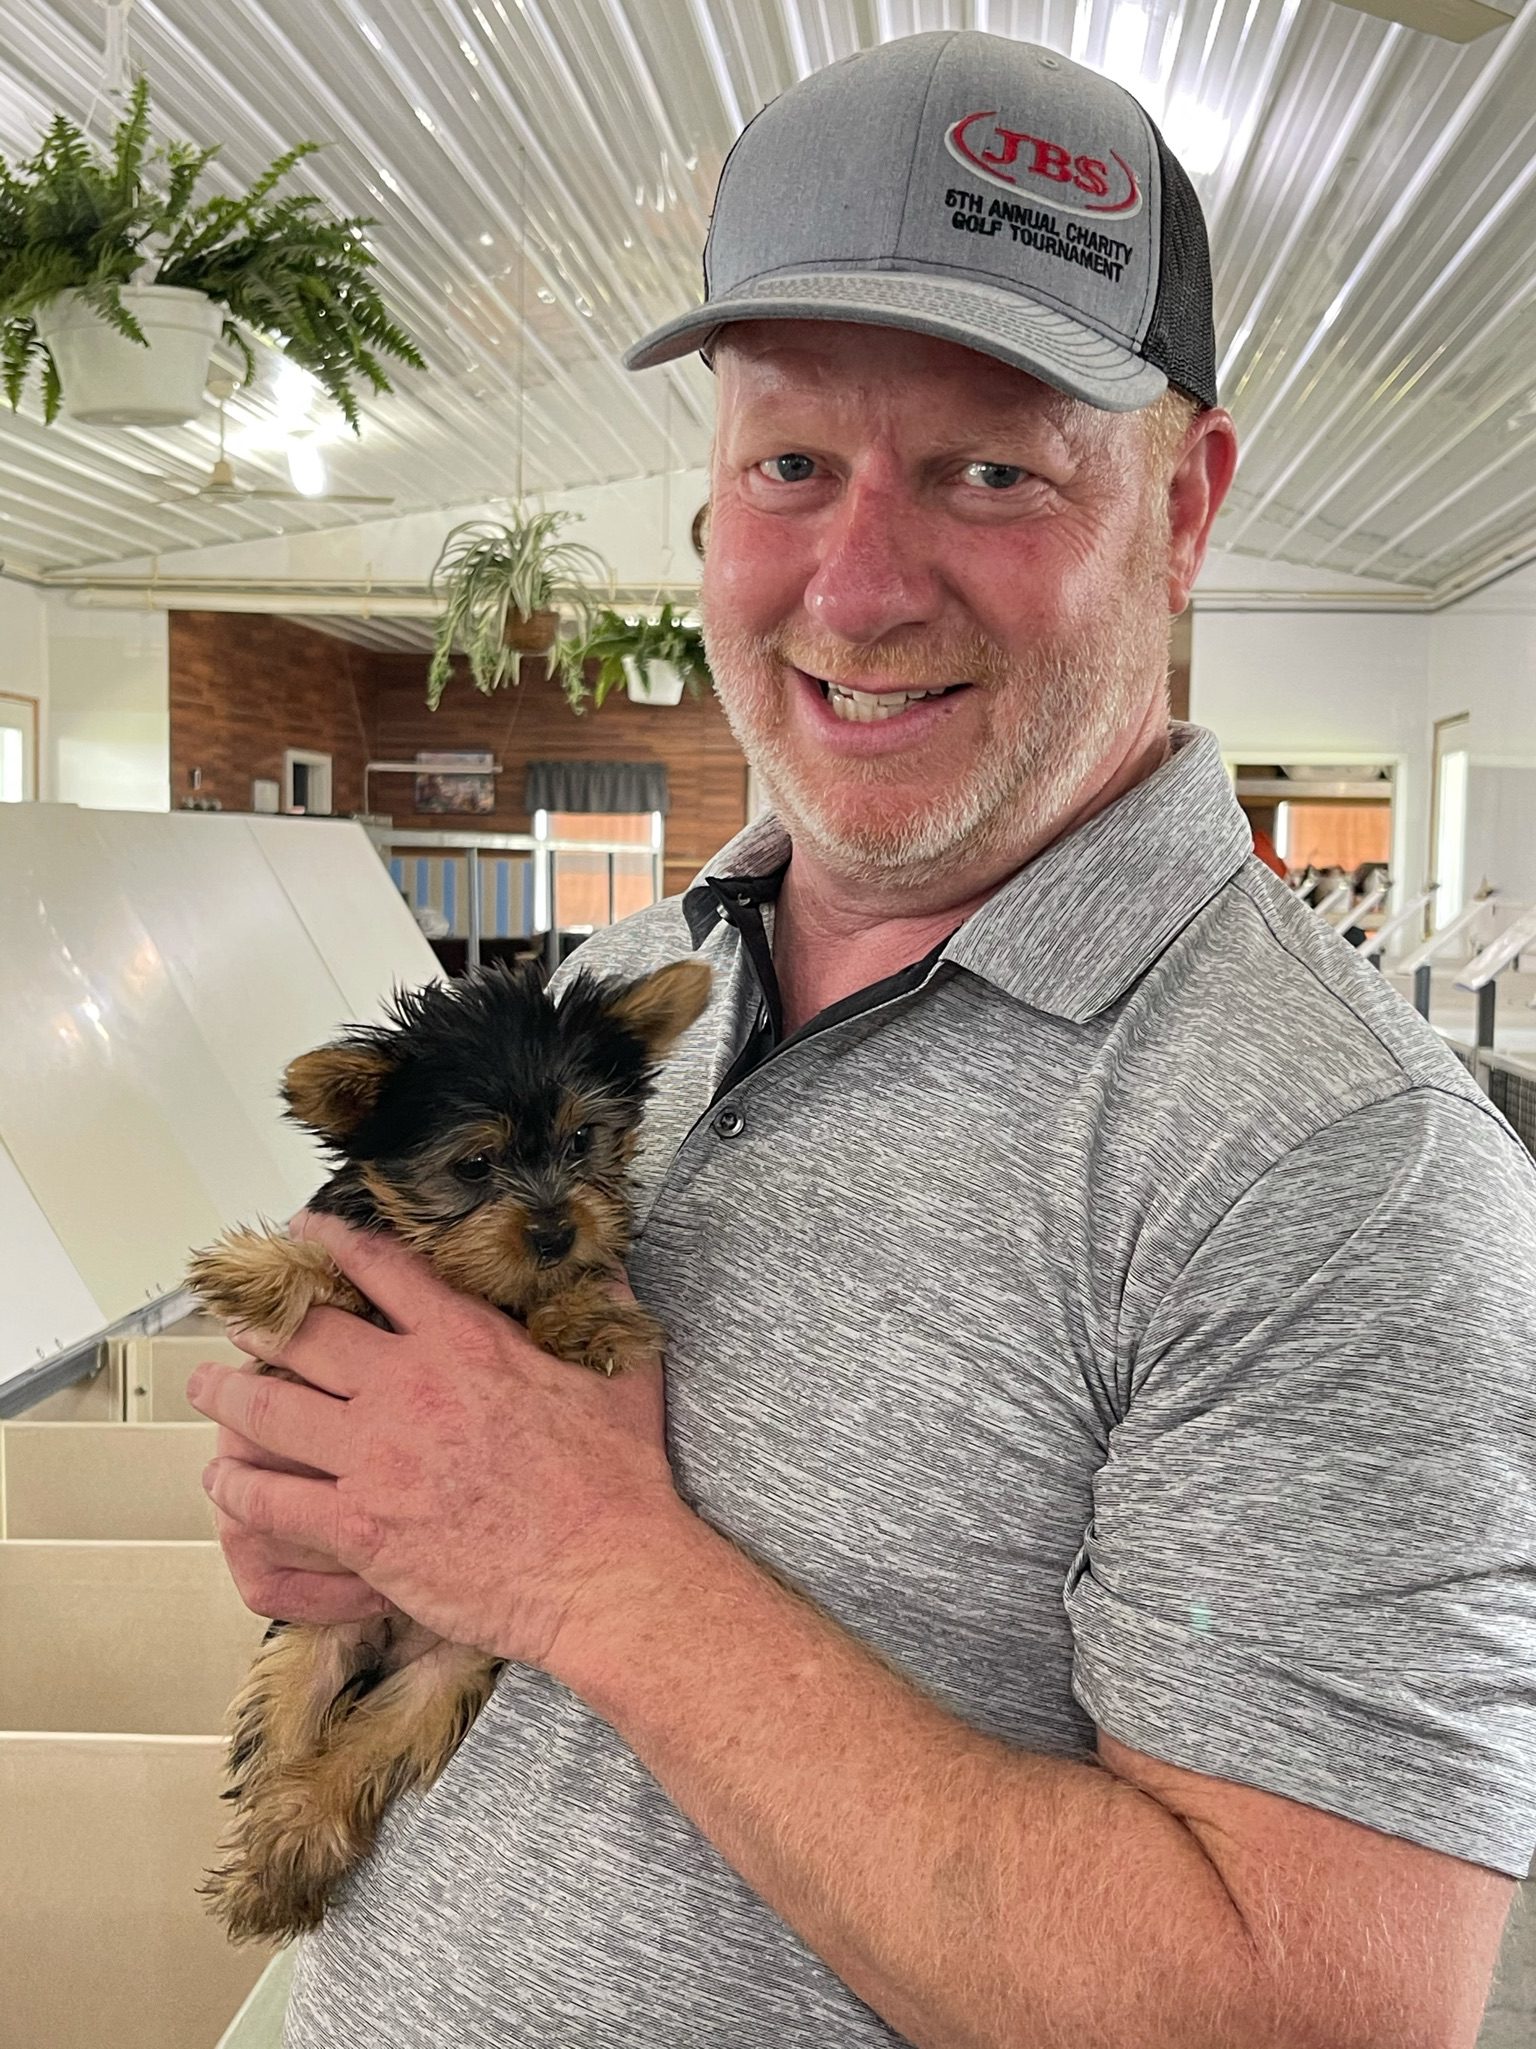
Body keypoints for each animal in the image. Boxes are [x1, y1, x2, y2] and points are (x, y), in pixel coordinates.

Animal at [185, 950, 708, 1942]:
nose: (555, 1228)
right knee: (283, 1731)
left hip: (442, 1683)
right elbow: (338, 1273)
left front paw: (581, 1312)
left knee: (362, 1755)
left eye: (582, 1142)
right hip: (311, 1638)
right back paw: (268, 1866)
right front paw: (260, 1270)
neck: (479, 1279)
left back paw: (294, 1844)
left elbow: (574, 1296)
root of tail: (390, 1636)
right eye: (473, 1164)